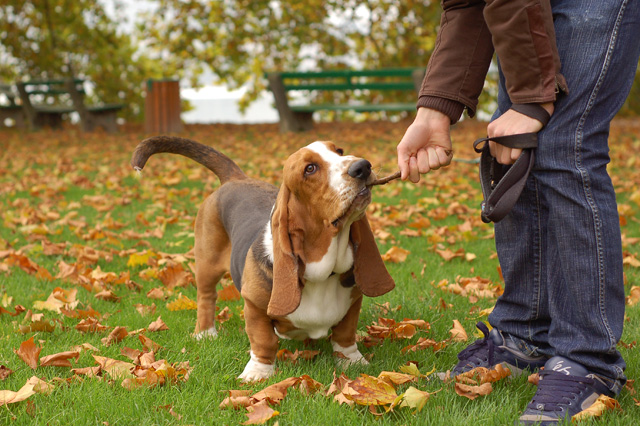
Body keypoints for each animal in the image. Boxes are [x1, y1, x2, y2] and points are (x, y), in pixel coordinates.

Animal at [131, 137, 396, 382]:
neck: (322, 271)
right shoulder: (254, 306)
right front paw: (258, 372)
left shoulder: (353, 302)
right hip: (207, 263)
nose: (363, 166)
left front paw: (352, 362)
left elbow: (345, 335)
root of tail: (236, 179)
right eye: (310, 169)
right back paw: (205, 333)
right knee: (206, 296)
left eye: (339, 151)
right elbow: (263, 341)